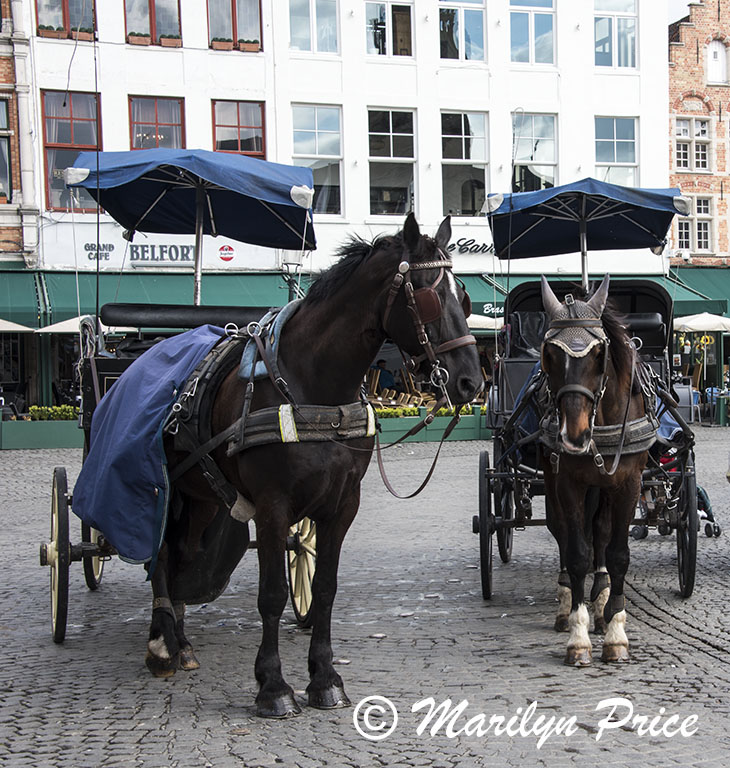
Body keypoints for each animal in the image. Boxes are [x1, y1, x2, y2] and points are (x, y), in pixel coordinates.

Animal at [146, 213, 483, 716]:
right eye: (426, 294)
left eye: (463, 298)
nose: (471, 381)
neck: (315, 387)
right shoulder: (272, 507)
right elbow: (271, 595)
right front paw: (272, 685)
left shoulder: (341, 505)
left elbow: (324, 588)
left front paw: (324, 677)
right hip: (168, 491)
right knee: (162, 554)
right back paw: (162, 644)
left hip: (202, 495)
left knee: (183, 553)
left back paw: (180, 640)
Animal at [539, 275, 653, 666]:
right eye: (548, 355)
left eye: (599, 354)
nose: (574, 435)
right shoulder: (568, 482)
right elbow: (576, 554)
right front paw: (578, 636)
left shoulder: (628, 482)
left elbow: (617, 554)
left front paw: (616, 631)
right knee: (562, 532)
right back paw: (566, 606)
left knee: (601, 534)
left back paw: (602, 602)